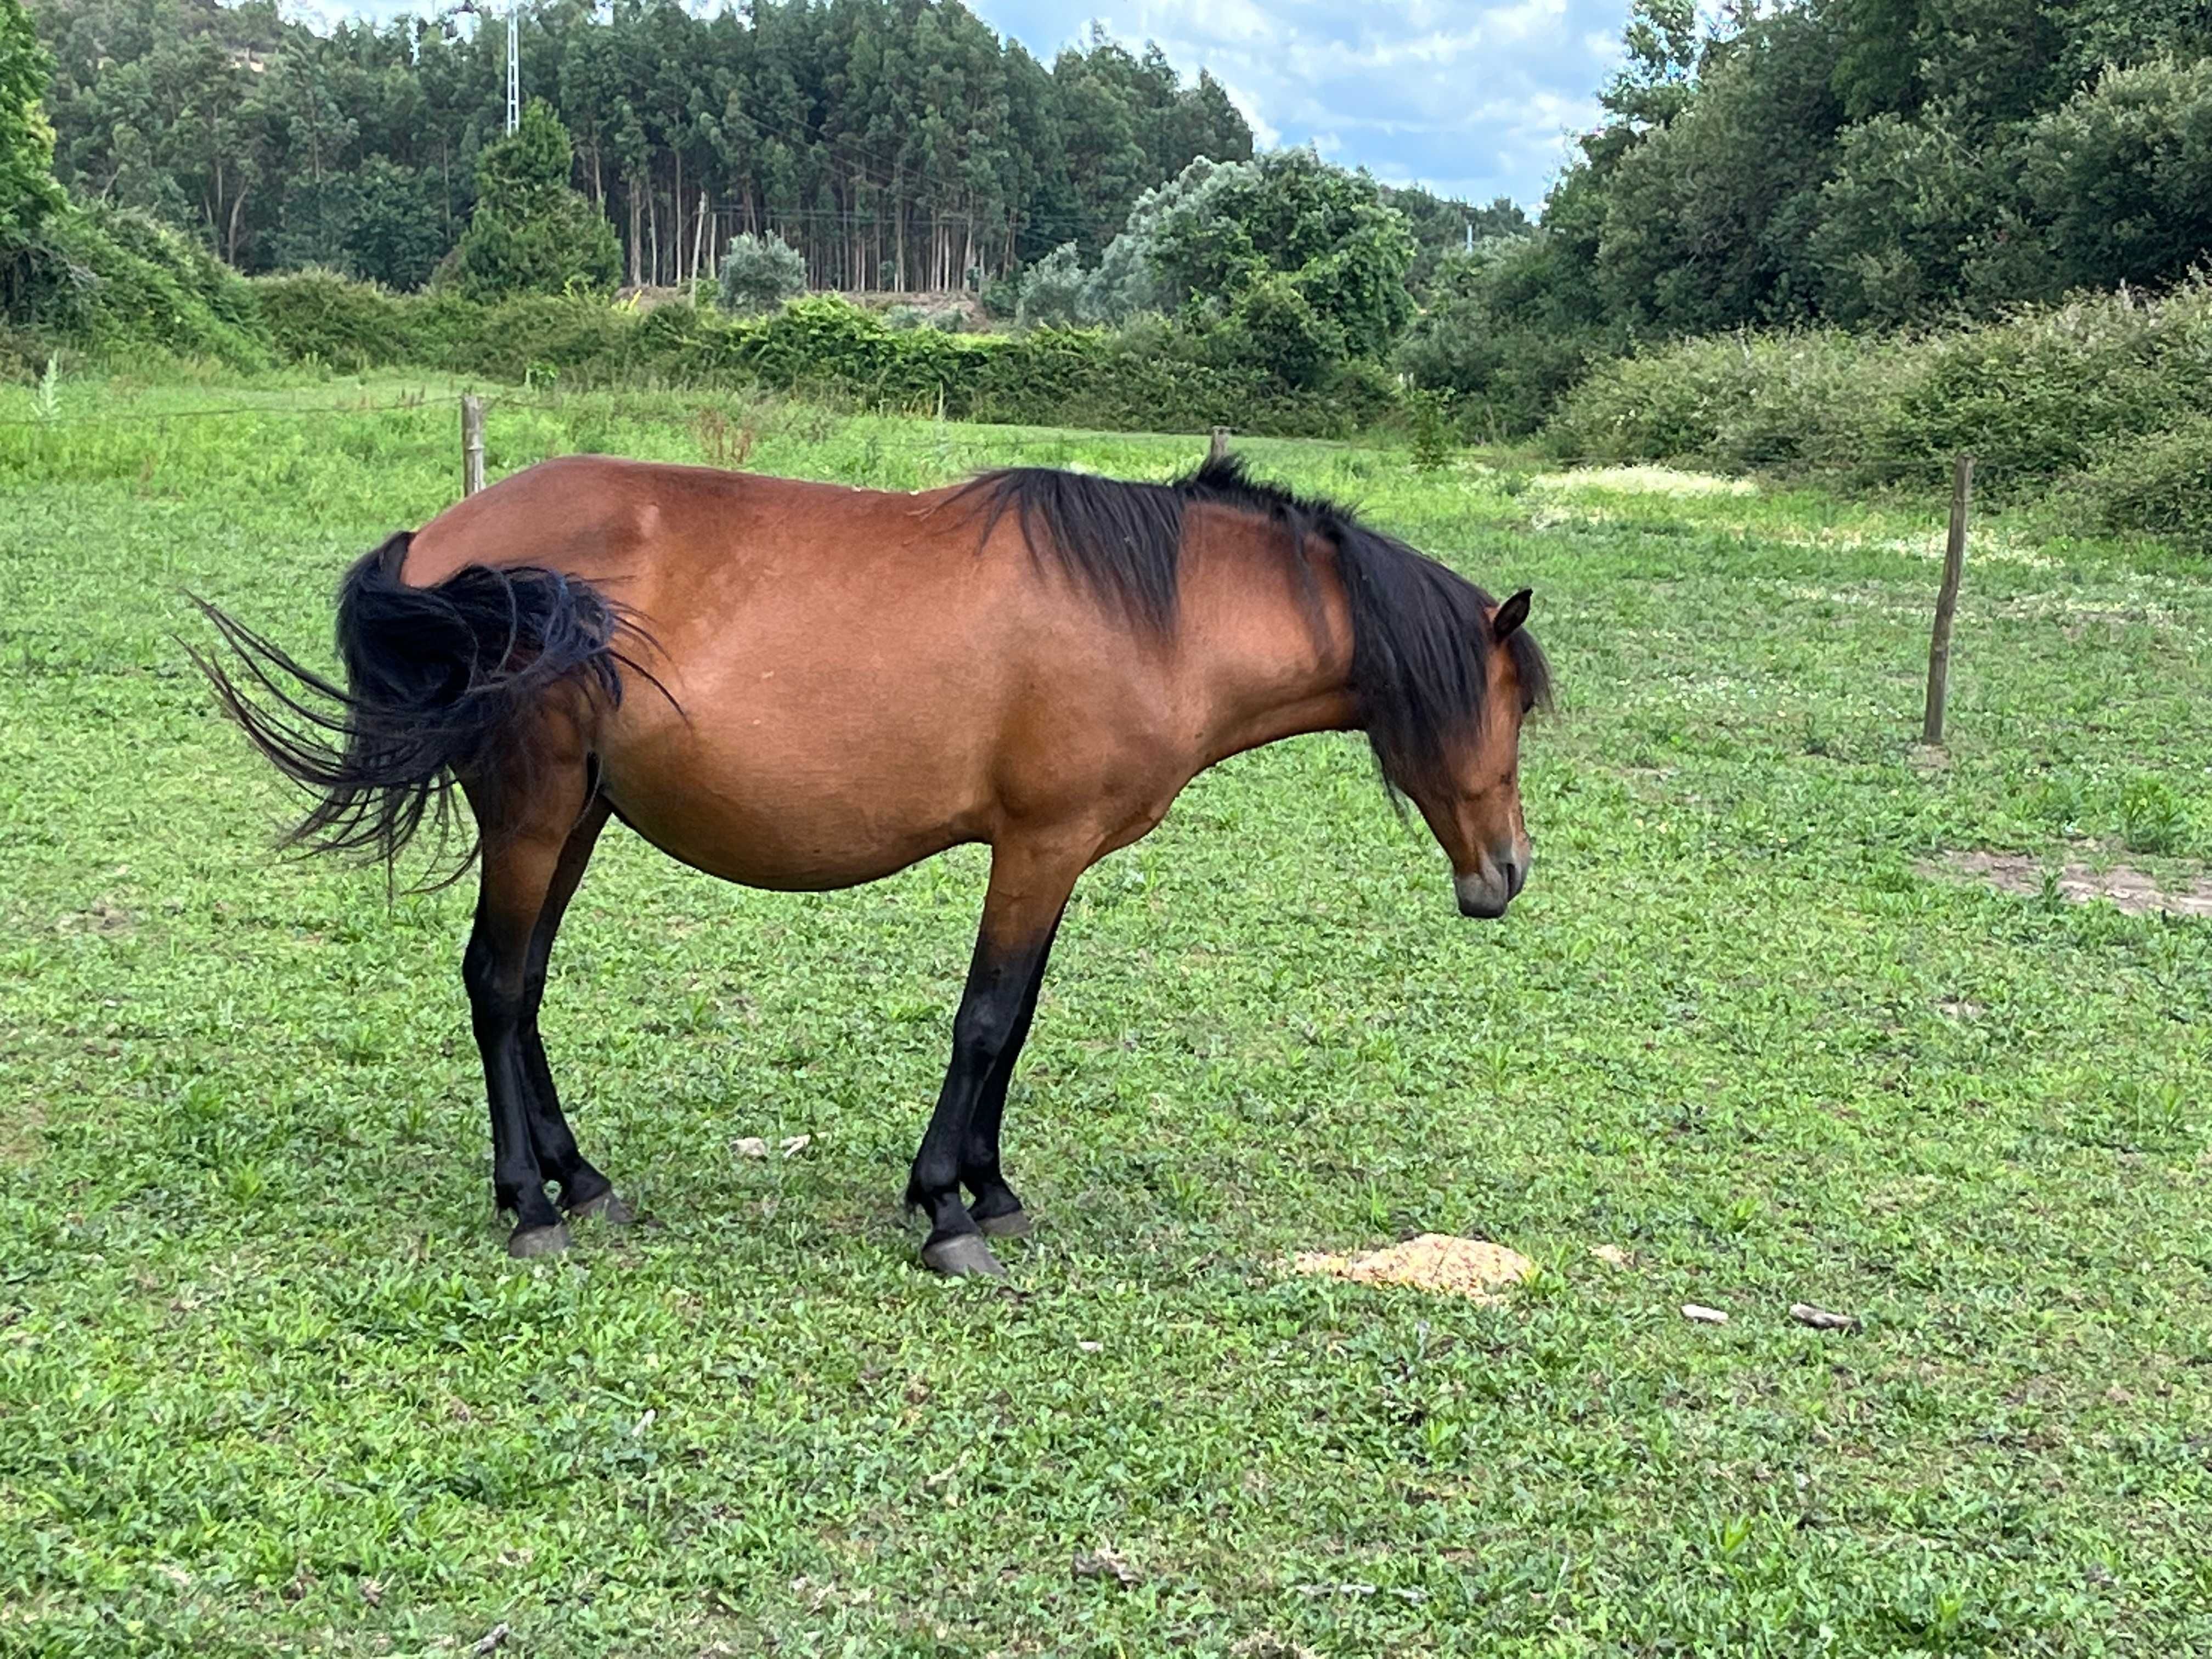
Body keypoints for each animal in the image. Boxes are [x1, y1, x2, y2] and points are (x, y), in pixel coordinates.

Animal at [199, 449, 1557, 1283]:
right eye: (1508, 707)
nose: (1507, 871)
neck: (1155, 613)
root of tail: (447, 540)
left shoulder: (1054, 860)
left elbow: (1016, 1025)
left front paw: (991, 1189)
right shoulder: (1038, 847)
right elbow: (987, 1021)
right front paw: (948, 1211)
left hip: (574, 816)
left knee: (523, 988)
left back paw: (578, 1181)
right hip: (533, 814)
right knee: (493, 986)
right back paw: (530, 1208)